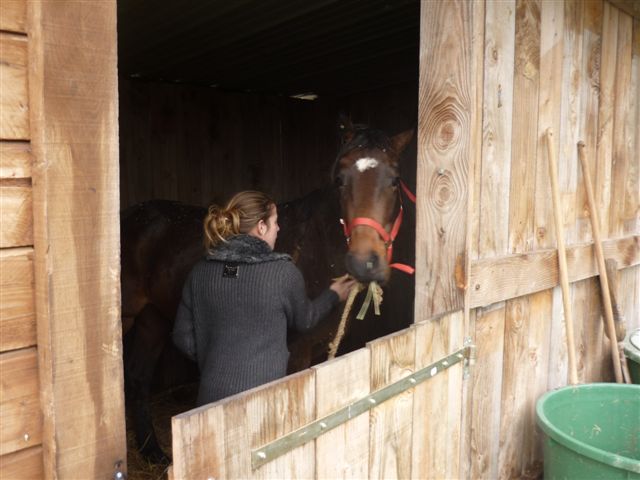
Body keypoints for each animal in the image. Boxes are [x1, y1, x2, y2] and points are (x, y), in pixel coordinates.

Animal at [121, 116, 416, 462]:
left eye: (395, 180)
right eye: (340, 180)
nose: (364, 263)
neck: (315, 245)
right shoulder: (297, 353)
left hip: (153, 318)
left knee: (139, 378)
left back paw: (153, 452)